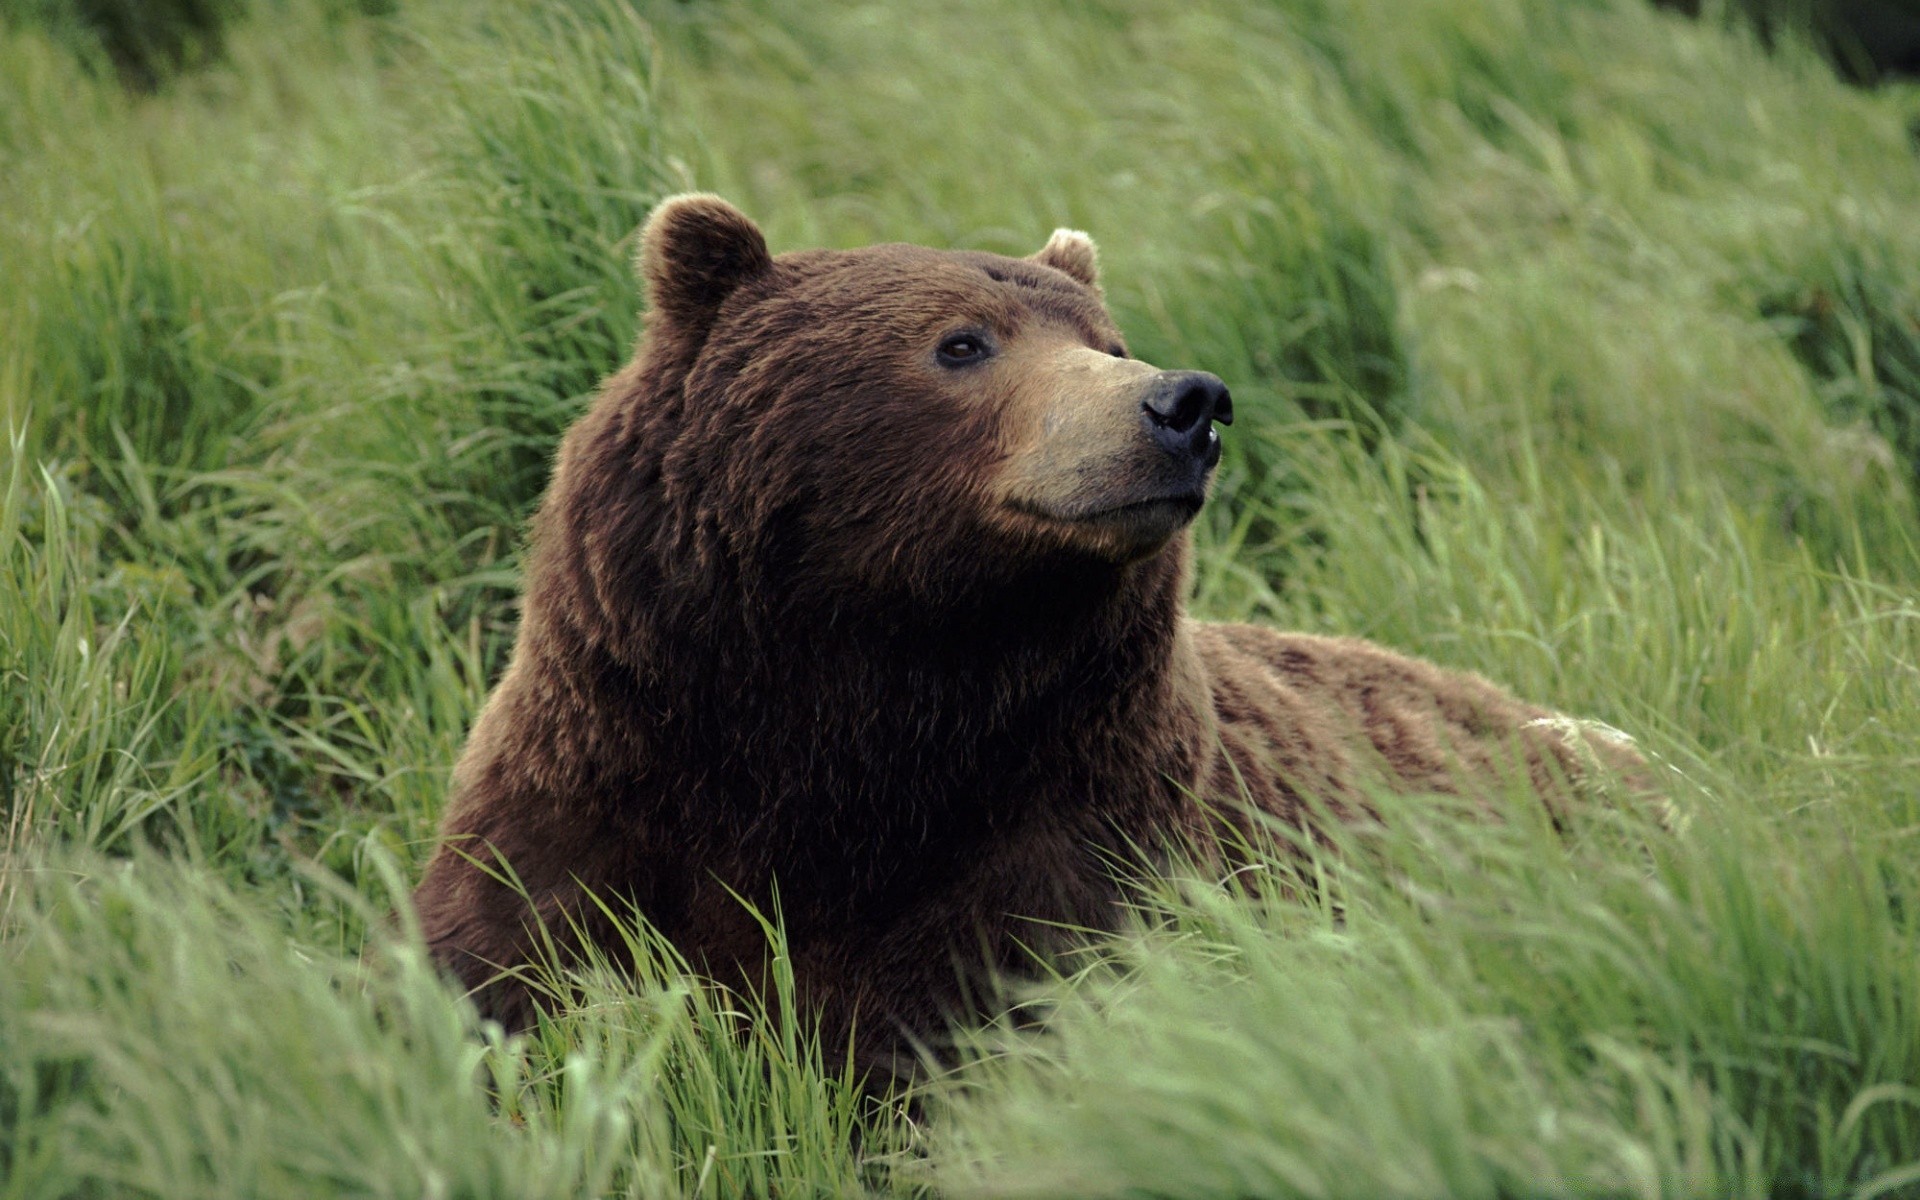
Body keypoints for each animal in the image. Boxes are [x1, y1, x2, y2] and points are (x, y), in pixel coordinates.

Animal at [408, 193, 1635, 1075]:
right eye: (963, 343)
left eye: (1109, 340)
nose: (1185, 403)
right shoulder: (612, 772)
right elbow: (514, 970)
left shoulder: (1068, 820)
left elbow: (993, 1014)